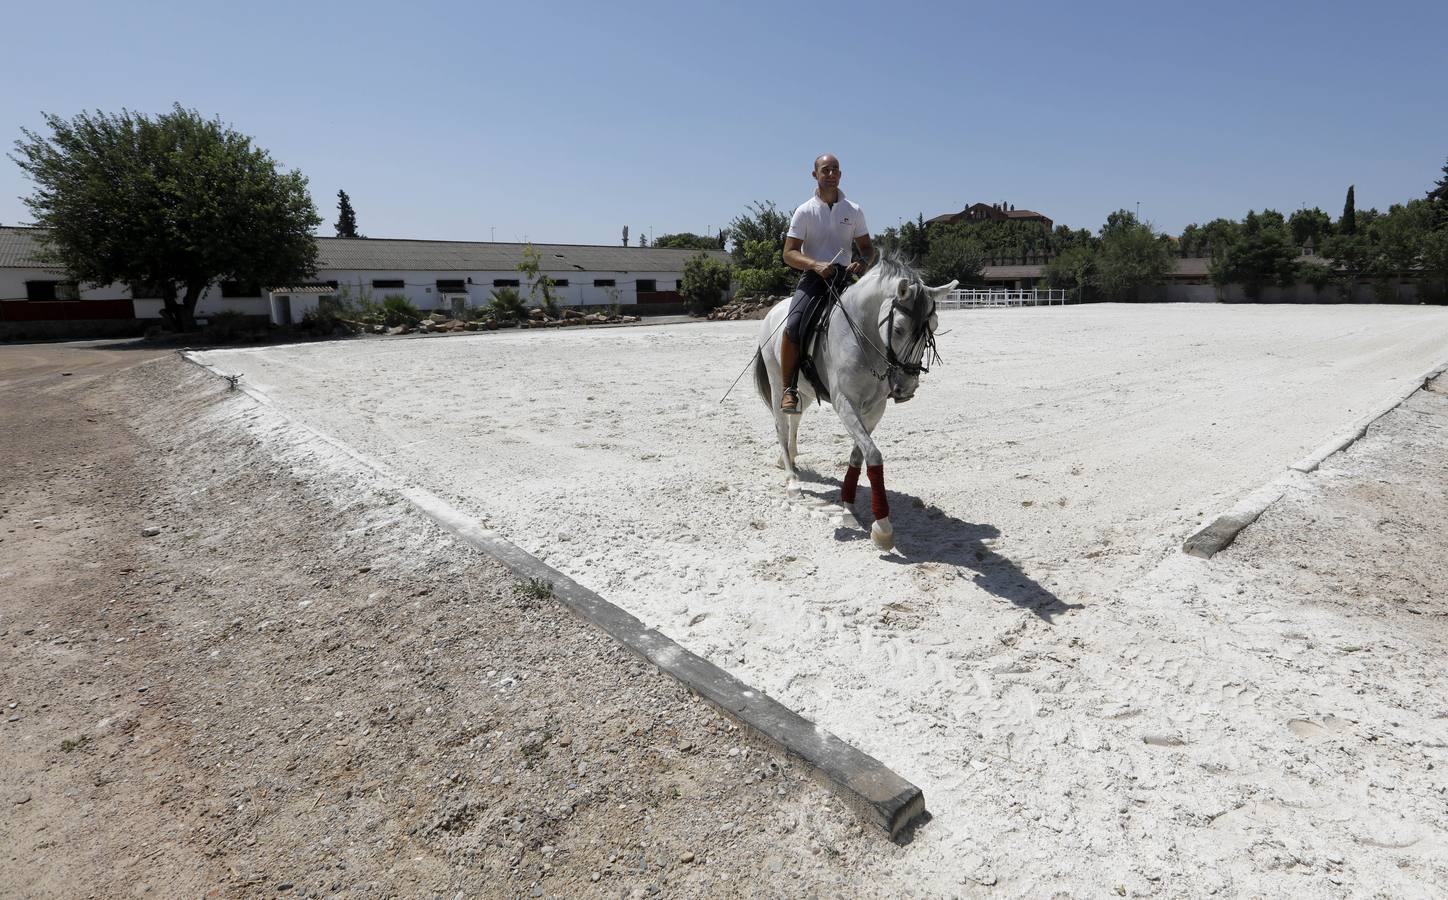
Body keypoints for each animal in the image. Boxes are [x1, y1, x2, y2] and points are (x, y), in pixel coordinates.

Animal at [752, 254, 955, 549]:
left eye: (935, 326)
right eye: (898, 329)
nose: (907, 387)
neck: (864, 339)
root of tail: (773, 311)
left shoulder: (875, 408)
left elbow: (859, 453)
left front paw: (848, 503)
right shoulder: (844, 402)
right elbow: (873, 453)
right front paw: (882, 528)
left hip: (806, 392)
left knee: (794, 419)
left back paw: (788, 458)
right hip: (780, 383)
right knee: (781, 424)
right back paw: (792, 482)